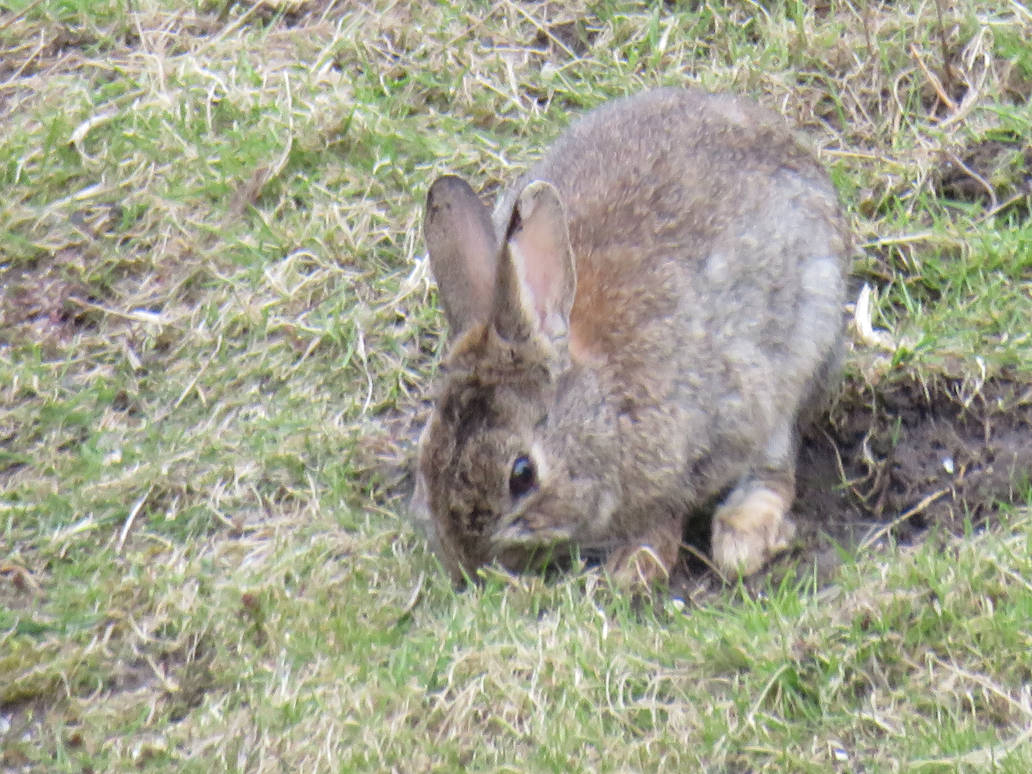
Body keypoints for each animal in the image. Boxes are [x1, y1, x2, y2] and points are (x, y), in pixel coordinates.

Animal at [413, 87, 849, 589]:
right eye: (426, 453)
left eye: (522, 475)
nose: (468, 565)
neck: (605, 408)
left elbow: (670, 511)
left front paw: (632, 567)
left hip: (810, 339)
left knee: (778, 461)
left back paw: (742, 538)